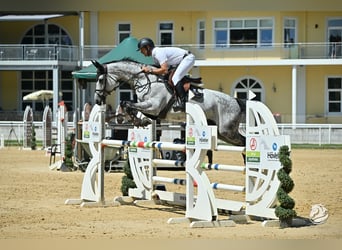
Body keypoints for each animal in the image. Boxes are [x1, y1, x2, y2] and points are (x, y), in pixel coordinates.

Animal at [93, 58, 246, 146]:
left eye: (100, 80)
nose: (97, 100)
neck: (145, 81)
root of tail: (236, 101)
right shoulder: (151, 110)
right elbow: (127, 105)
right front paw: (141, 121)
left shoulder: (153, 106)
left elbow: (127, 104)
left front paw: (138, 121)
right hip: (221, 132)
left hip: (227, 130)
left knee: (243, 142)